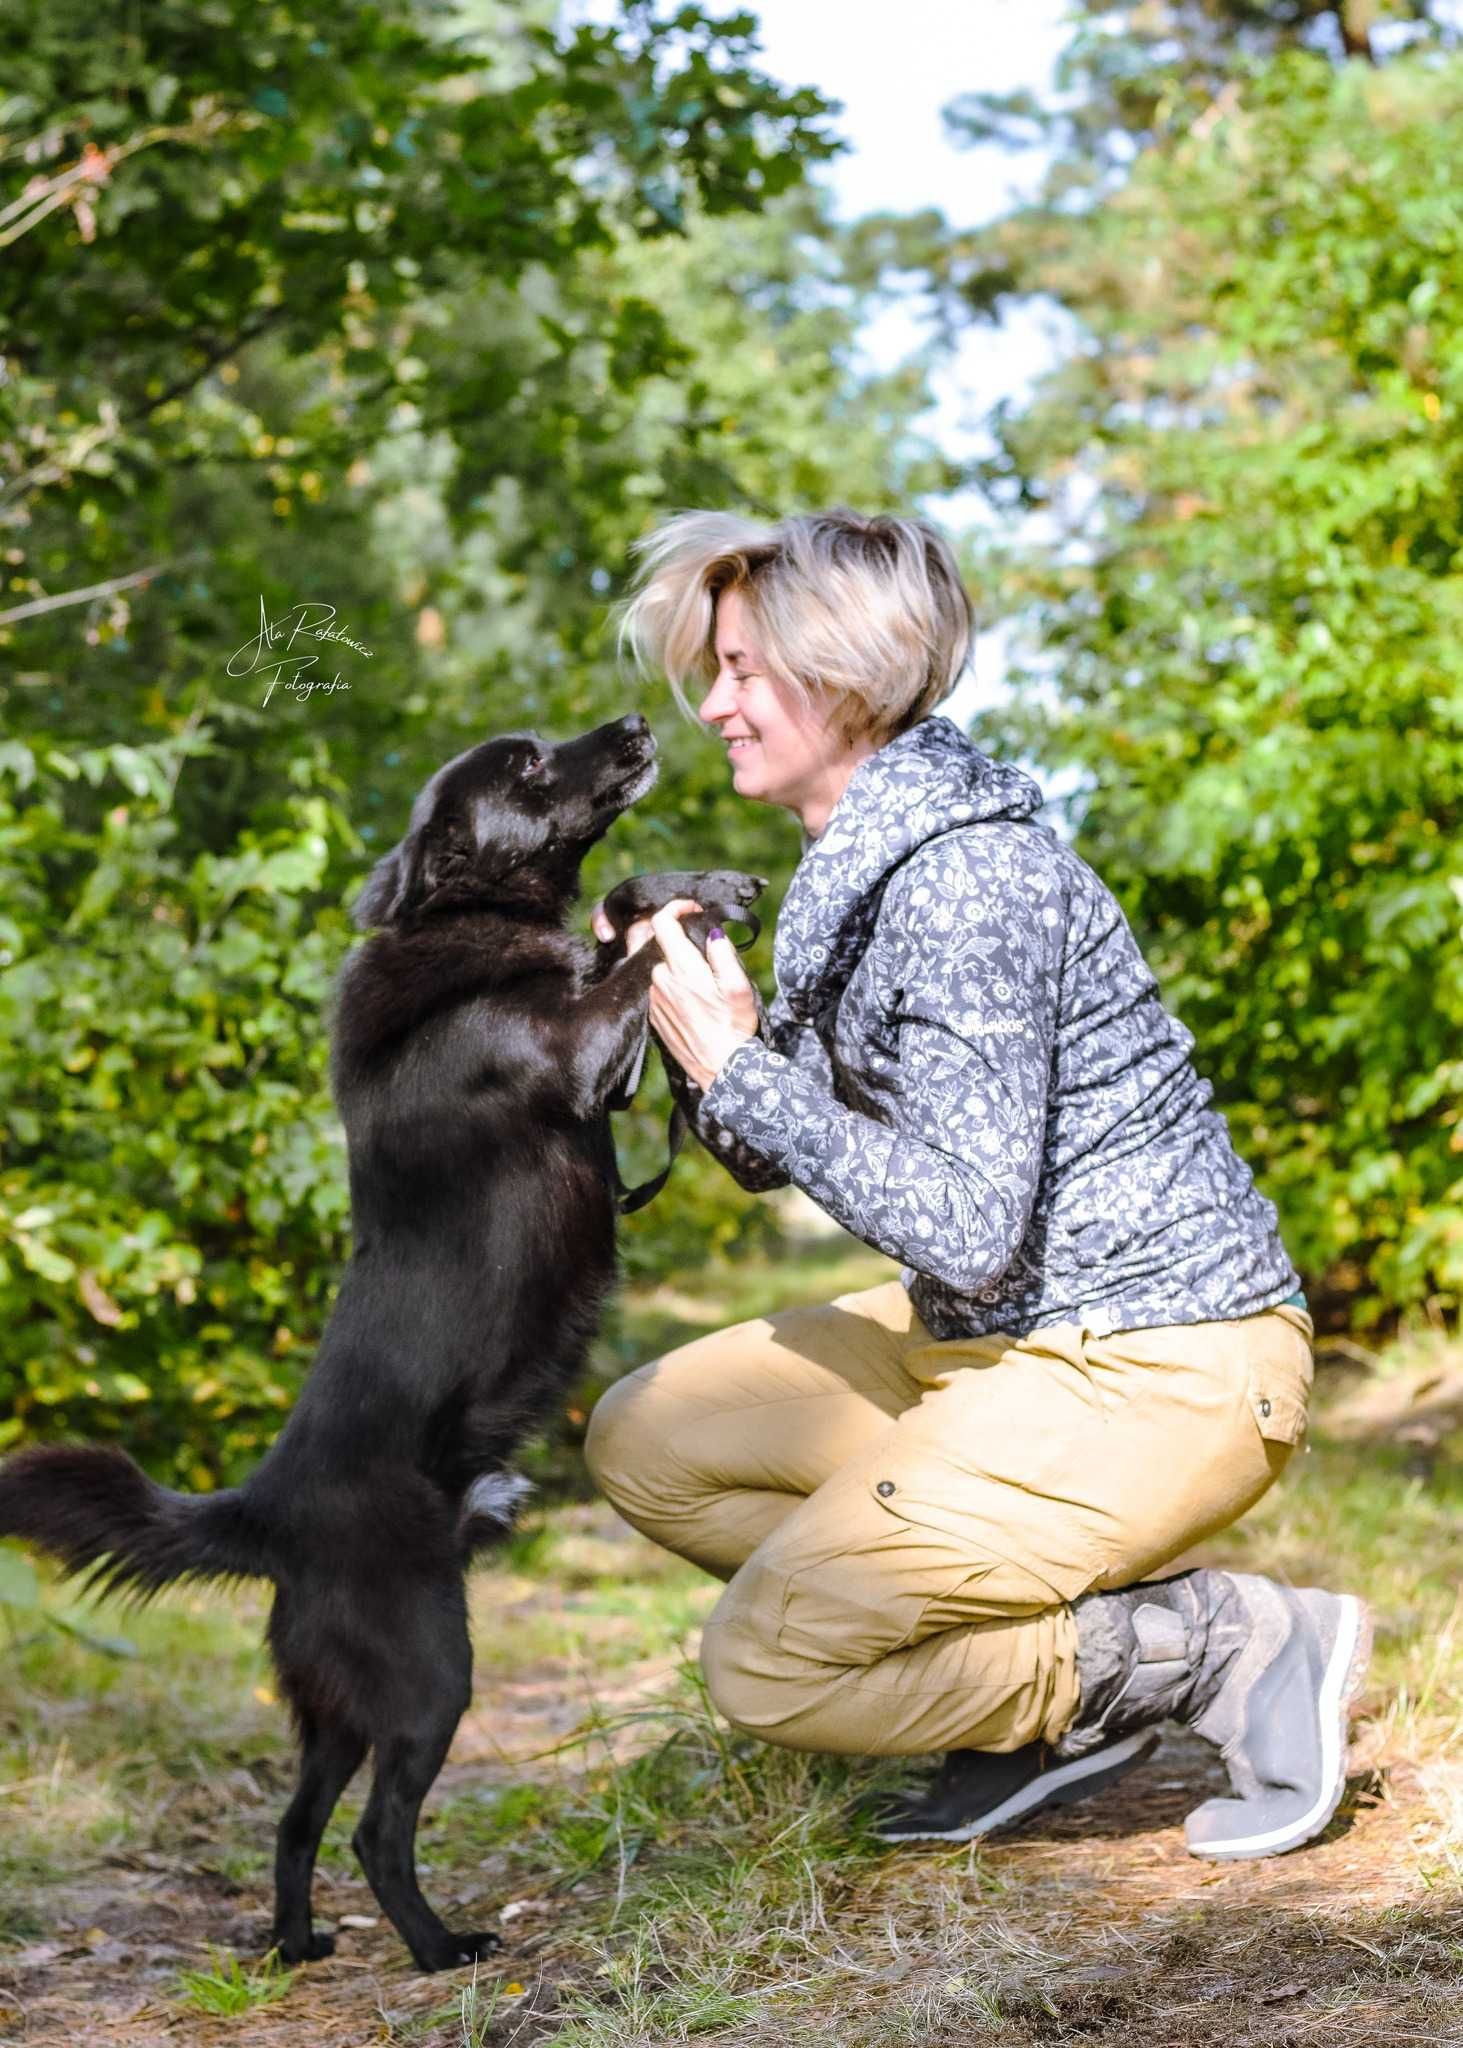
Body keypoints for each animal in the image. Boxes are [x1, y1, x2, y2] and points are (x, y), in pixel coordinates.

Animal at [0, 716, 770, 1966]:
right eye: (525, 765)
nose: (639, 725)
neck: (468, 928)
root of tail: (260, 1508)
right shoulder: (573, 1051)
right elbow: (630, 963)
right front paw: (693, 908)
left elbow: (615, 905)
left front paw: (694, 882)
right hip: (427, 1672)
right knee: (373, 1830)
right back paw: (441, 1945)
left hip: (335, 1706)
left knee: (294, 1818)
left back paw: (300, 1941)